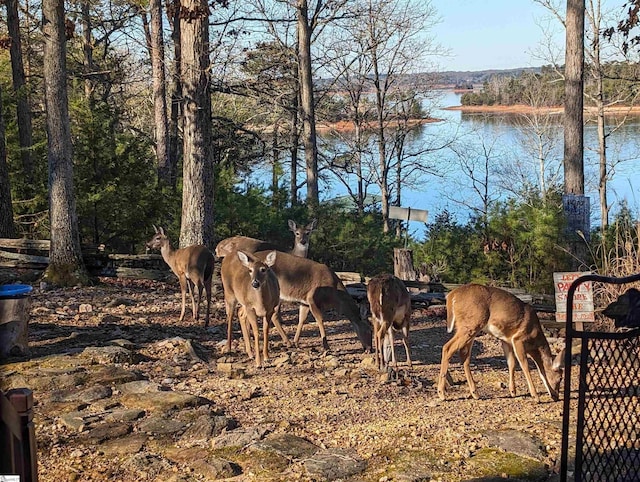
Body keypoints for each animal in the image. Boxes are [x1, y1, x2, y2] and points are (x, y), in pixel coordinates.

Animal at [438, 282, 568, 402]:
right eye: (560, 377)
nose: (556, 396)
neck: (535, 341)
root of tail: (452, 295)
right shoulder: (518, 338)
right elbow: (525, 364)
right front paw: (535, 396)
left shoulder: (506, 340)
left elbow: (512, 363)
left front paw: (513, 391)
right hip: (471, 325)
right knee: (447, 347)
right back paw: (442, 393)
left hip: (468, 327)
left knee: (464, 355)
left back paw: (475, 393)